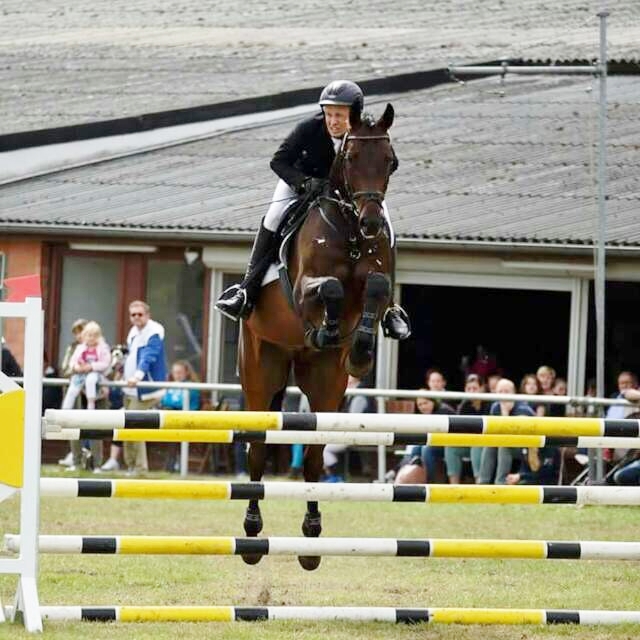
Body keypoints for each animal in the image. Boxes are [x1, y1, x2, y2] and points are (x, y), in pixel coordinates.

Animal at [240, 101, 396, 571]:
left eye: (390, 161)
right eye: (351, 158)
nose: (371, 223)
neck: (348, 230)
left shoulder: (378, 281)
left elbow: (376, 287)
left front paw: (360, 349)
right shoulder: (303, 287)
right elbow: (329, 289)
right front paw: (326, 327)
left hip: (325, 384)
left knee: (312, 456)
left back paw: (311, 540)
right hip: (261, 371)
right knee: (257, 448)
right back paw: (251, 532)